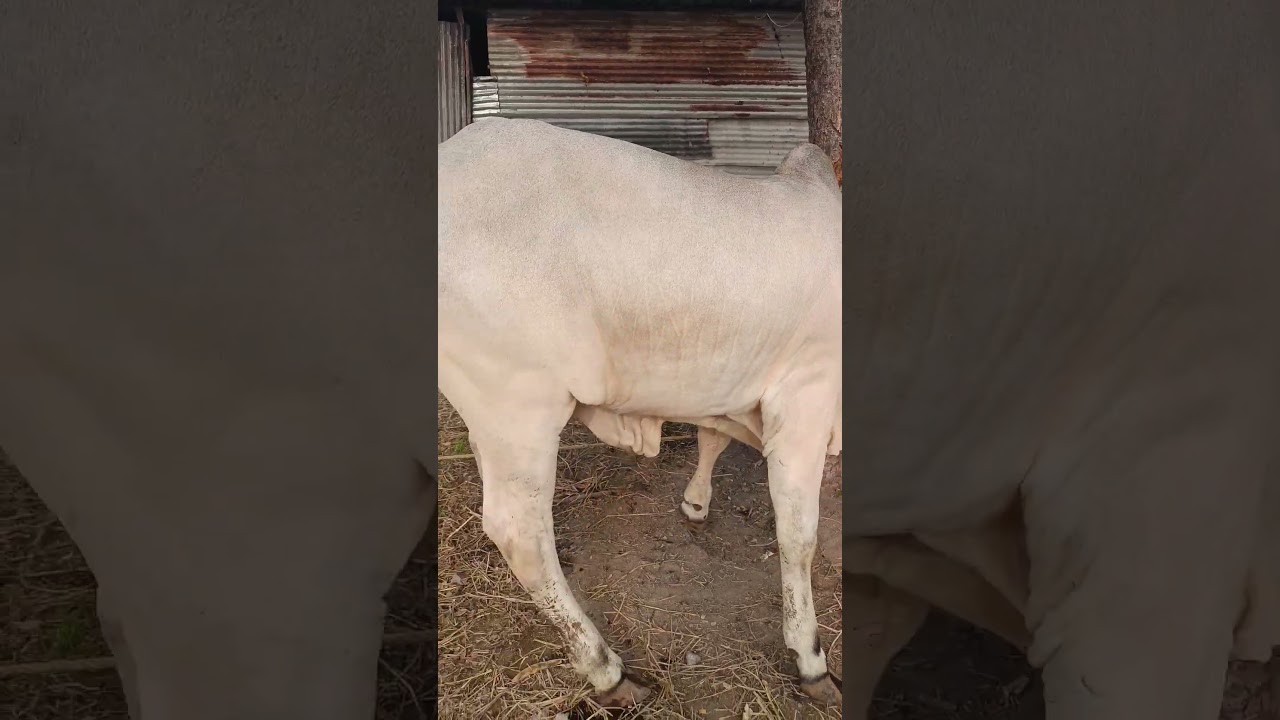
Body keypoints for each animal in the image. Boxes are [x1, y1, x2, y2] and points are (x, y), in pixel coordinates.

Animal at [437, 116, 844, 707]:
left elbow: (712, 437)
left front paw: (696, 502)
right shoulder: (808, 394)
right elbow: (798, 534)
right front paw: (810, 656)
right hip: (518, 406)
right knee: (520, 532)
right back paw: (606, 668)